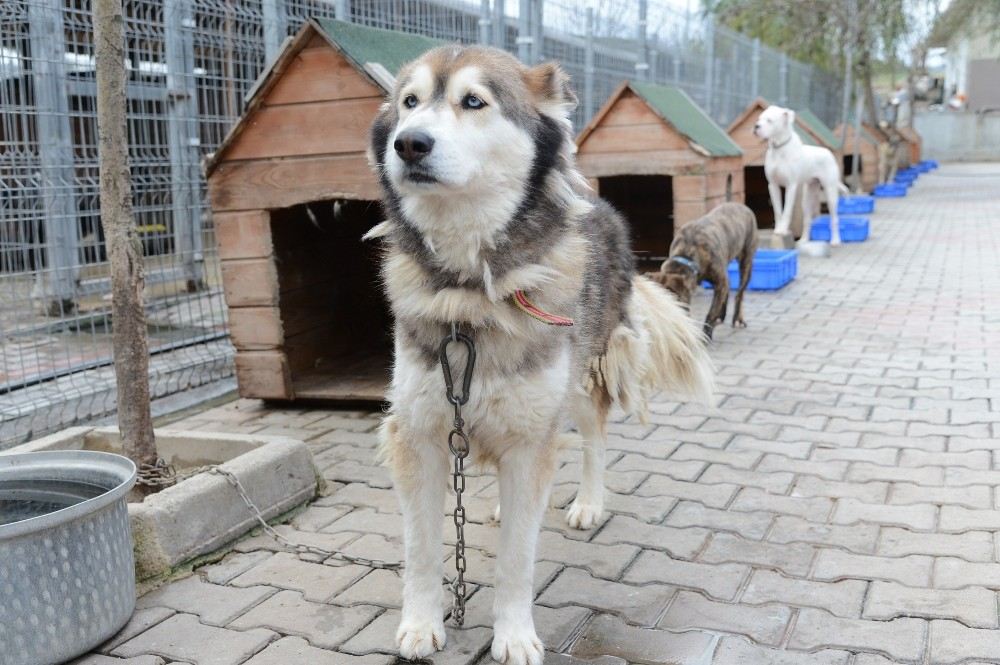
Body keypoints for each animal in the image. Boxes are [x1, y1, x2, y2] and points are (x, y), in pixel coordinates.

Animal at [364, 46, 716, 664]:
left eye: (473, 101)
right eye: (408, 102)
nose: (409, 144)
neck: (469, 289)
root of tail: (597, 198)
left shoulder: (533, 437)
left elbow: (516, 559)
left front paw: (514, 636)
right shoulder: (420, 433)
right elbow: (423, 548)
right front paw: (421, 625)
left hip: (578, 384)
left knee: (595, 440)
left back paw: (589, 503)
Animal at [648, 201, 756, 338]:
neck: (687, 253)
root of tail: (740, 205)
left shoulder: (720, 282)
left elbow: (711, 313)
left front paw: (706, 336)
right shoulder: (721, 282)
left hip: (746, 261)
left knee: (739, 294)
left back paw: (737, 318)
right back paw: (721, 316)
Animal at [752, 105, 848, 245]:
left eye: (769, 120)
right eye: (759, 118)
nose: (756, 126)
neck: (779, 148)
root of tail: (828, 153)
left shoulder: (791, 186)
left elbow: (786, 211)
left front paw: (783, 230)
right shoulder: (773, 185)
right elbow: (778, 211)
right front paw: (777, 229)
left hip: (830, 193)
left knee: (834, 218)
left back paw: (835, 241)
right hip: (808, 196)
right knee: (808, 219)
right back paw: (803, 240)